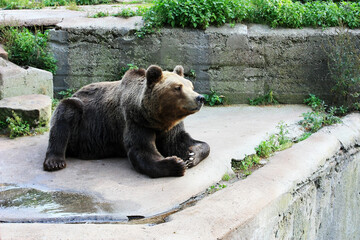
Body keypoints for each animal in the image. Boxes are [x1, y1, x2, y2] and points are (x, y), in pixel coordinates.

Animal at [43, 64, 210, 177]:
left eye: (191, 86)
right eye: (178, 87)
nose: (200, 98)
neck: (156, 118)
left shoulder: (170, 127)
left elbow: (180, 141)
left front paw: (191, 155)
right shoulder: (135, 121)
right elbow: (141, 150)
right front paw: (175, 163)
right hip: (81, 121)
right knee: (65, 114)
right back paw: (54, 162)